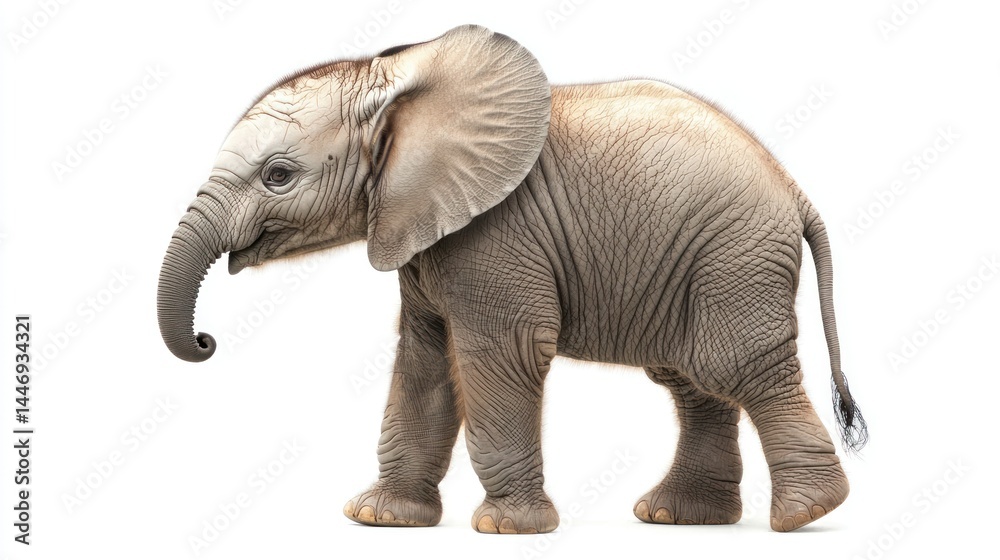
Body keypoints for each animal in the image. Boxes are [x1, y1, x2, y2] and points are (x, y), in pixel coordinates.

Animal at [157, 25, 867, 534]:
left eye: (278, 175)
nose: (206, 341)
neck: (395, 81)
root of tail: (795, 189)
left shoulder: (497, 234)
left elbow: (502, 352)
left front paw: (506, 529)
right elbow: (423, 361)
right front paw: (381, 519)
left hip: (734, 256)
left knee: (735, 365)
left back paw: (806, 514)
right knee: (690, 377)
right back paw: (678, 517)